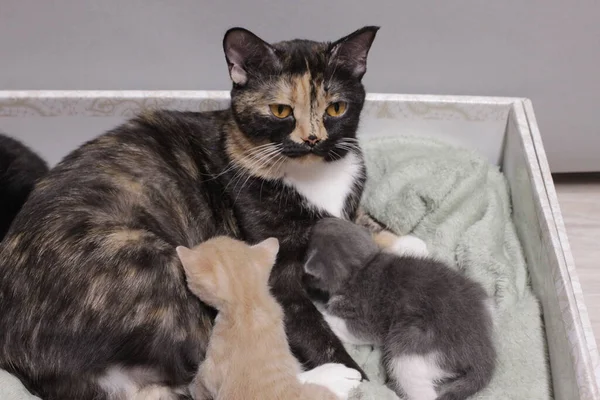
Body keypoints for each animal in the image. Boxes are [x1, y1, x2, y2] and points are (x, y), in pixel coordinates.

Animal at [304, 219, 496, 400]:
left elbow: (353, 330)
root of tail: (485, 353)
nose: (318, 221)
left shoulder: (367, 316)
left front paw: (321, 312)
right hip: (479, 295)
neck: (364, 266)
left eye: (311, 238)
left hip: (410, 348)